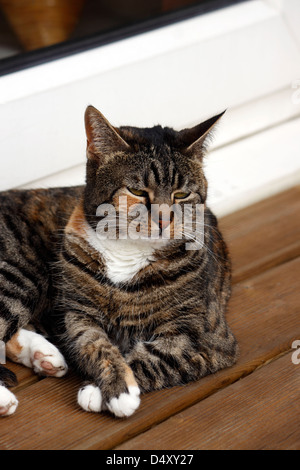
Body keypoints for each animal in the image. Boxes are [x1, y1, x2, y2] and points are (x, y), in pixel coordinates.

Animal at [0, 107, 239, 418]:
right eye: (137, 192)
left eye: (182, 194)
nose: (164, 221)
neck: (129, 252)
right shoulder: (77, 314)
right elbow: (95, 344)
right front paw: (116, 388)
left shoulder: (206, 337)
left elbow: (155, 357)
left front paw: (99, 390)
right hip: (21, 274)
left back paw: (44, 356)